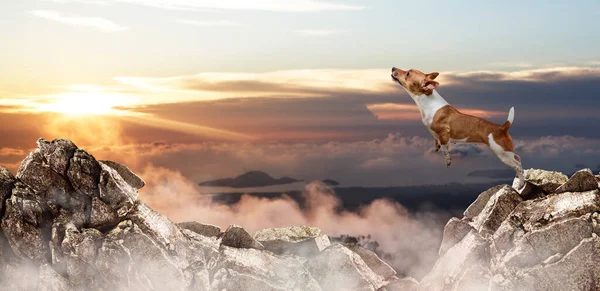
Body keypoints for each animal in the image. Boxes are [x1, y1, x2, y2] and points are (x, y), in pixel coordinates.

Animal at [390, 66, 524, 189]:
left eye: (408, 73)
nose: (393, 68)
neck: (428, 102)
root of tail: (502, 127)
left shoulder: (444, 134)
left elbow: (445, 150)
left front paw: (447, 160)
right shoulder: (437, 136)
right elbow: (437, 142)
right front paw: (437, 147)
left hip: (502, 153)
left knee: (518, 166)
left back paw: (521, 183)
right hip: (507, 153)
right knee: (518, 159)